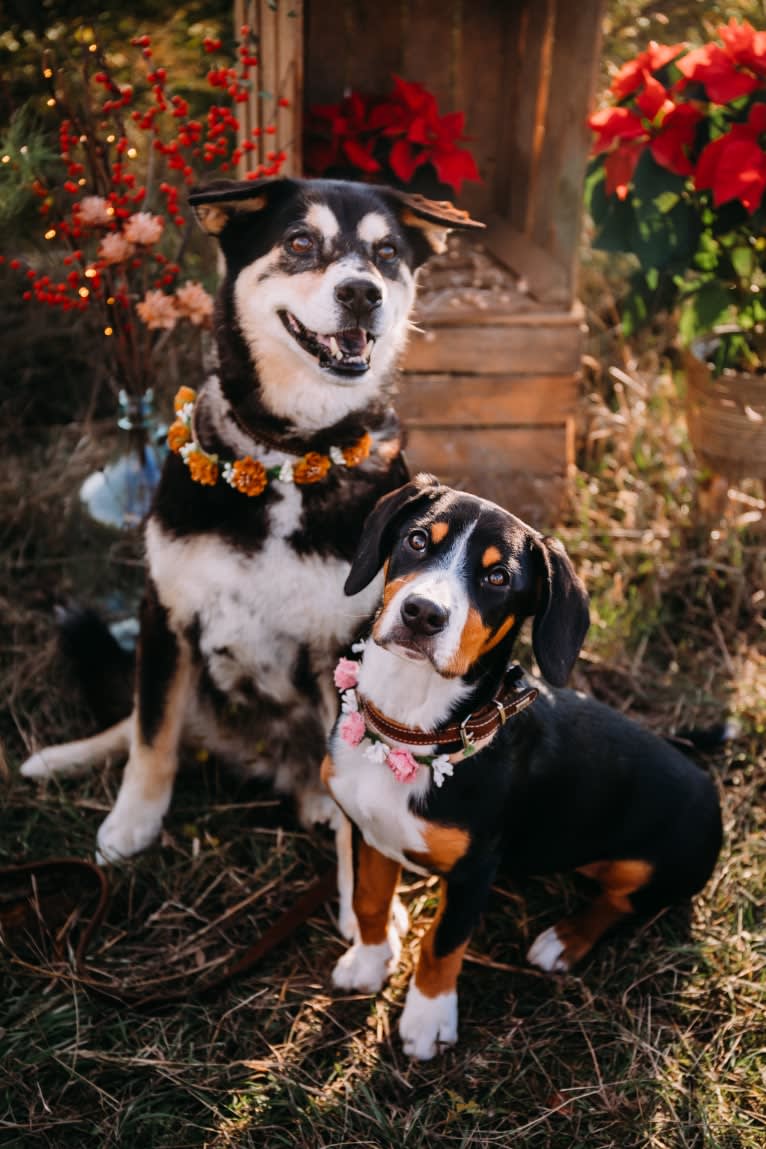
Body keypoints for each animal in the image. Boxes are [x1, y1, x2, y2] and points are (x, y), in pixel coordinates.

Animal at [22, 176, 484, 864]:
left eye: (388, 253)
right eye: (299, 242)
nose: (362, 292)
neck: (289, 457)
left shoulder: (342, 643)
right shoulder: (167, 613)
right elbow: (152, 730)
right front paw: (134, 822)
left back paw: (316, 801)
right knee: (136, 718)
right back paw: (61, 759)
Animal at [323, 473, 725, 1057]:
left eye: (497, 577)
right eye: (418, 540)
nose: (423, 613)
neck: (414, 730)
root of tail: (703, 778)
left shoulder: (475, 869)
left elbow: (443, 944)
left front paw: (427, 1019)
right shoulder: (365, 828)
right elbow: (371, 900)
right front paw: (369, 964)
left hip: (663, 864)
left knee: (624, 903)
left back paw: (563, 941)